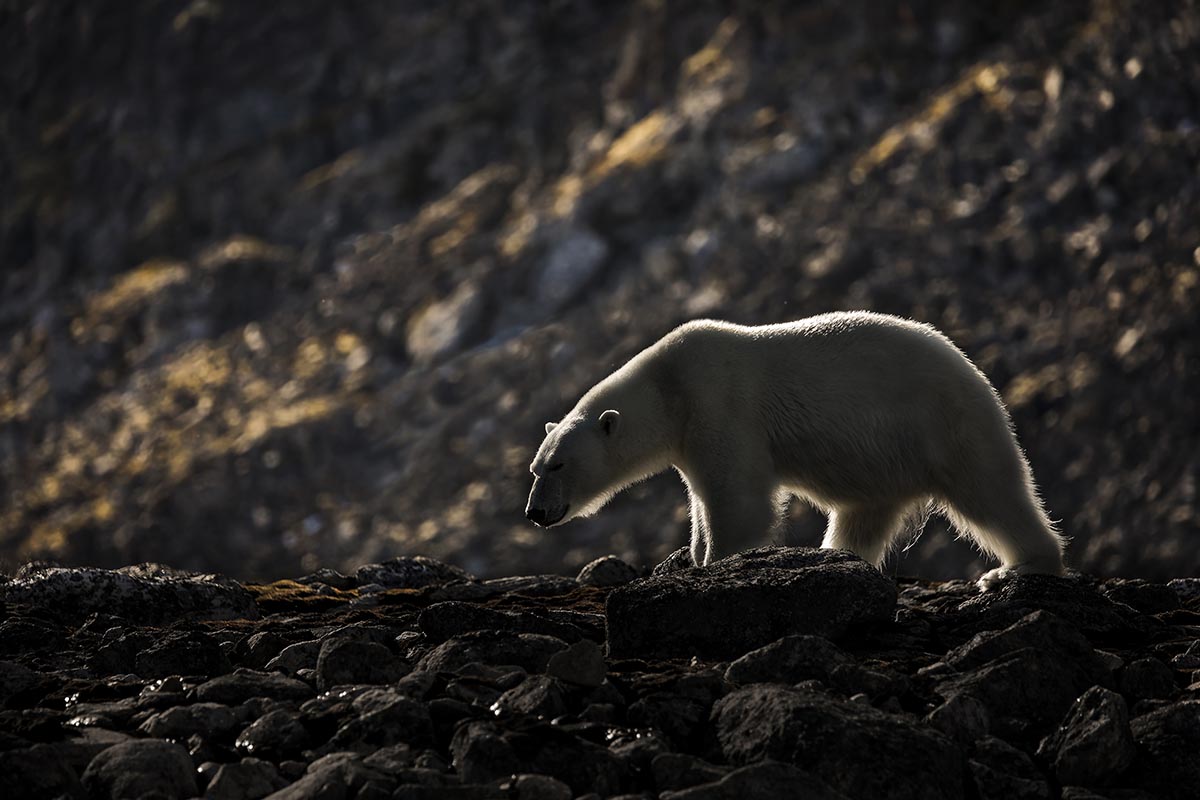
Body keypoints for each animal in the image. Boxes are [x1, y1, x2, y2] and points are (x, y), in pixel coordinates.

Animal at [528, 311, 1070, 587]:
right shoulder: (690, 438)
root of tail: (973, 371)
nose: (536, 512)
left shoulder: (719, 405)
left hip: (945, 423)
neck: (668, 387)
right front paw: (692, 555)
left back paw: (1015, 568)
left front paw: (712, 564)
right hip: (885, 465)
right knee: (861, 517)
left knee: (991, 492)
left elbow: (740, 502)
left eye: (557, 464)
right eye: (536, 468)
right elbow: (702, 499)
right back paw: (837, 558)